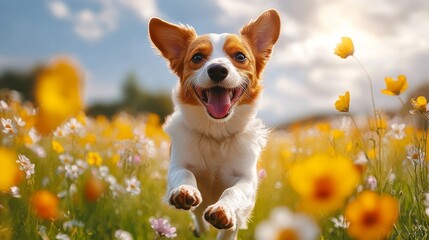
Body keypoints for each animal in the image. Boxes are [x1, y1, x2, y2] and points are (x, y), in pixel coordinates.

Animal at [148, 8, 280, 239]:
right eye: (197, 57)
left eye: (240, 56)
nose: (217, 70)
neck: (216, 134)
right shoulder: (178, 164)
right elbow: (184, 173)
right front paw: (185, 191)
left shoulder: (247, 179)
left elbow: (233, 191)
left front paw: (223, 210)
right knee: (197, 214)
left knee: (230, 228)